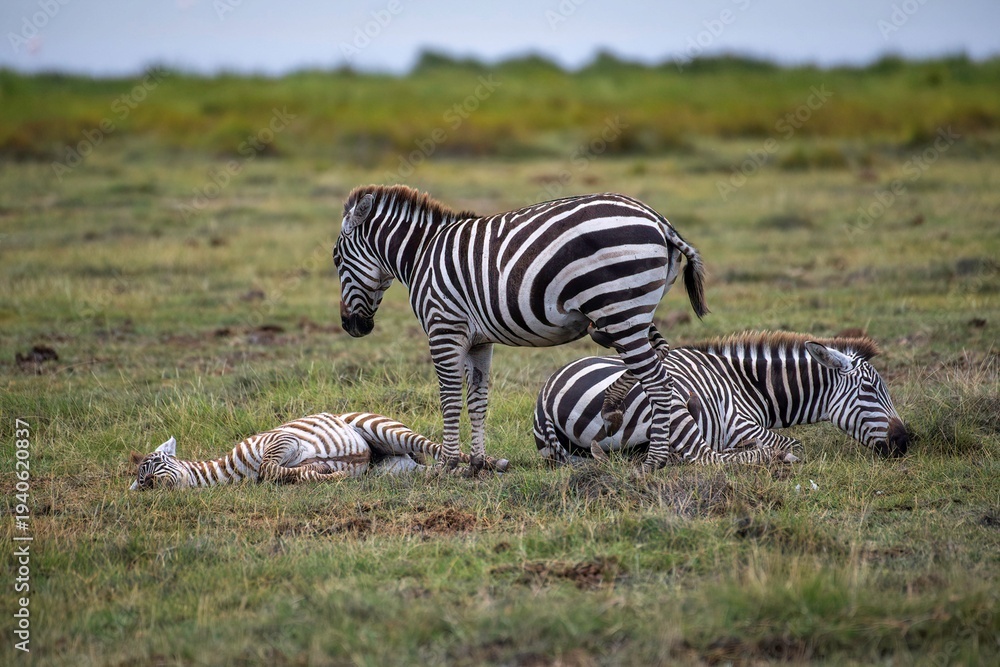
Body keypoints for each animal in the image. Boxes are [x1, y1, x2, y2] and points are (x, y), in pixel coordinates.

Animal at [332, 185, 708, 474]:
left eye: (336, 260)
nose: (351, 326)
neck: (421, 255)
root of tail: (658, 220)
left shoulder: (444, 329)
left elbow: (450, 399)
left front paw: (447, 465)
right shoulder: (479, 341)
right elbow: (478, 400)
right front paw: (478, 464)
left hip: (620, 309)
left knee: (657, 381)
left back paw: (654, 461)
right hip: (631, 312)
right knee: (660, 357)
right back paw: (614, 408)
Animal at [534, 330, 909, 465]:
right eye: (869, 390)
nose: (905, 442)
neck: (749, 385)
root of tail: (545, 394)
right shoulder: (742, 424)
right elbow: (794, 445)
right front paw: (776, 452)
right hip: (670, 404)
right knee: (706, 457)